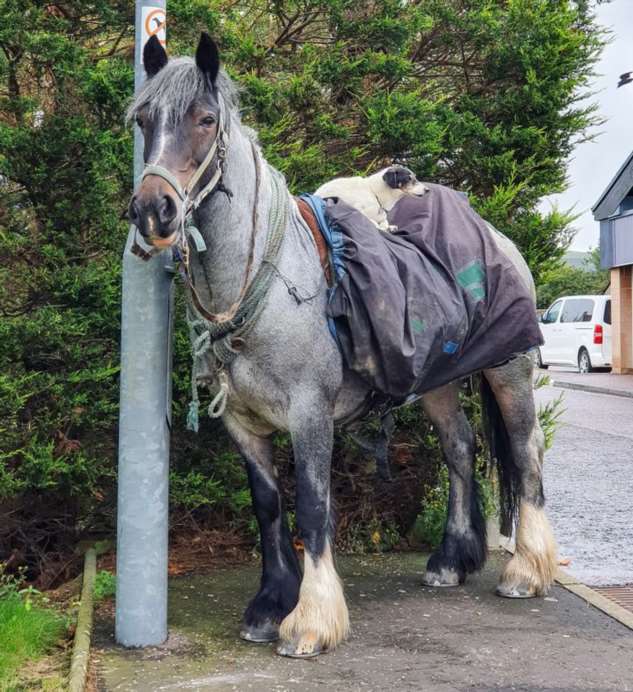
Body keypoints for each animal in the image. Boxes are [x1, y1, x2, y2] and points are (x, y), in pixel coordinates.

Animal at [126, 33, 556, 660]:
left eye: (205, 119)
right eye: (143, 120)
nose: (152, 211)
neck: (266, 281)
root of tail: (498, 237)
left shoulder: (310, 414)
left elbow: (312, 504)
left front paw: (310, 620)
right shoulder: (243, 423)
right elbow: (269, 506)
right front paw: (268, 605)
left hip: (510, 371)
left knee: (525, 453)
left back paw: (525, 570)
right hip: (438, 384)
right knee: (459, 447)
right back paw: (450, 560)